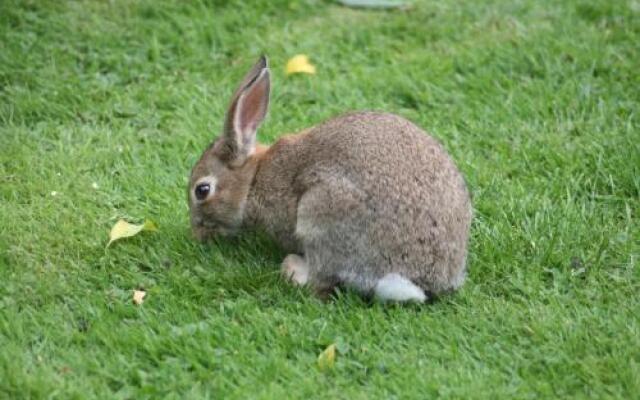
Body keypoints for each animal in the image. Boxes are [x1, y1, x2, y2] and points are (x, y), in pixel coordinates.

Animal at [188, 55, 472, 300]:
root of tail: (428, 278)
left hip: (321, 213)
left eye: (202, 190)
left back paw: (292, 266)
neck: (253, 181)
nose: (197, 233)